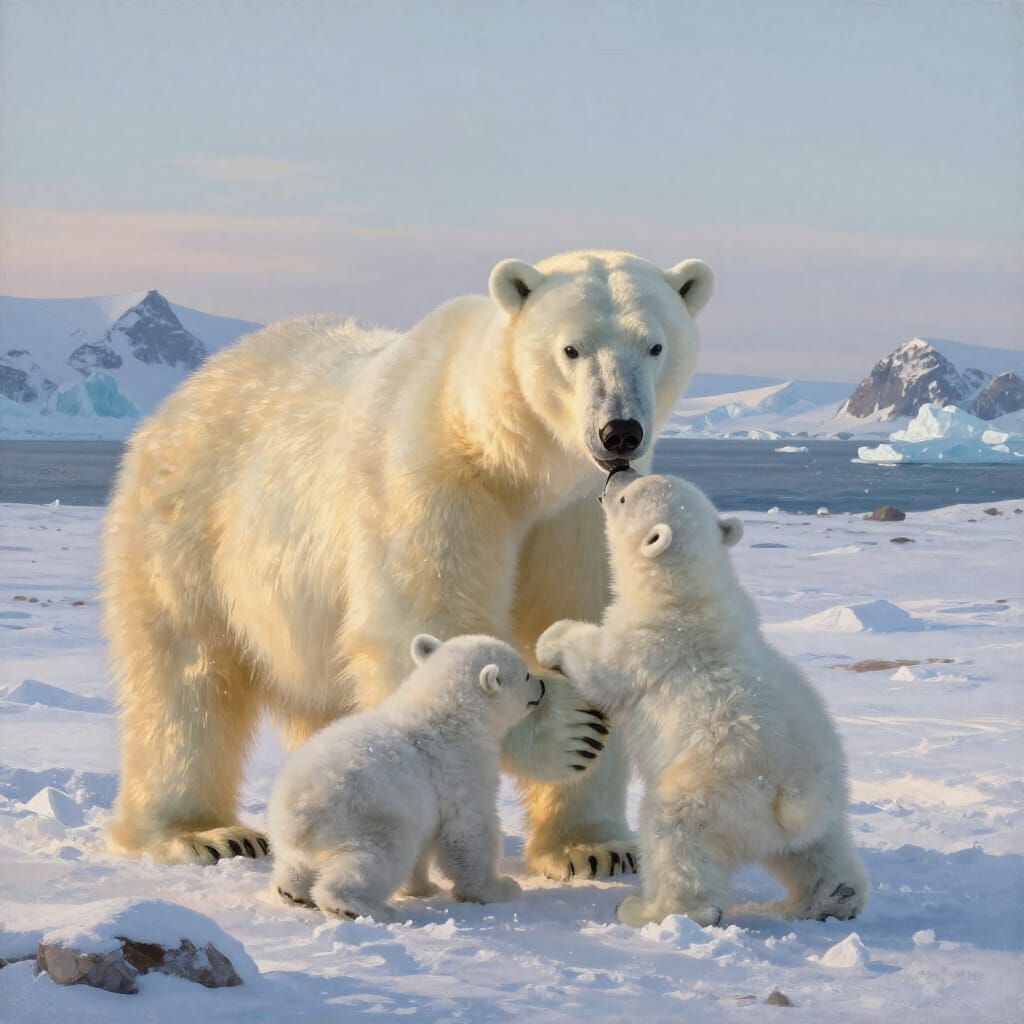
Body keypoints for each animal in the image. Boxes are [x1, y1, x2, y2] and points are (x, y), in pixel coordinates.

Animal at [101, 249, 714, 878]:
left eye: (655, 344)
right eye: (571, 348)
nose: (620, 432)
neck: (514, 462)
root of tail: (188, 390)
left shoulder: (576, 516)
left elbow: (581, 614)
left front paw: (594, 847)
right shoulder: (434, 482)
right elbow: (425, 622)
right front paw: (568, 731)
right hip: (189, 525)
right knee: (186, 675)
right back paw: (201, 832)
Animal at [267, 634, 541, 921]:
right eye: (525, 674)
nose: (542, 686)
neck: (449, 716)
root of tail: (297, 818)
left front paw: (423, 887)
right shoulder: (462, 770)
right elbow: (469, 831)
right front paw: (498, 888)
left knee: (295, 864)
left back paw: (292, 892)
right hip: (366, 815)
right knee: (379, 856)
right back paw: (358, 907)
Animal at [536, 469, 869, 926]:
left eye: (625, 498)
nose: (618, 471)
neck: (687, 593)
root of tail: (794, 796)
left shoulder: (646, 643)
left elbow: (600, 666)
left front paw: (551, 640)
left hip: (709, 791)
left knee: (675, 838)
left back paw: (649, 909)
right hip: (822, 800)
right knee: (817, 849)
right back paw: (834, 897)